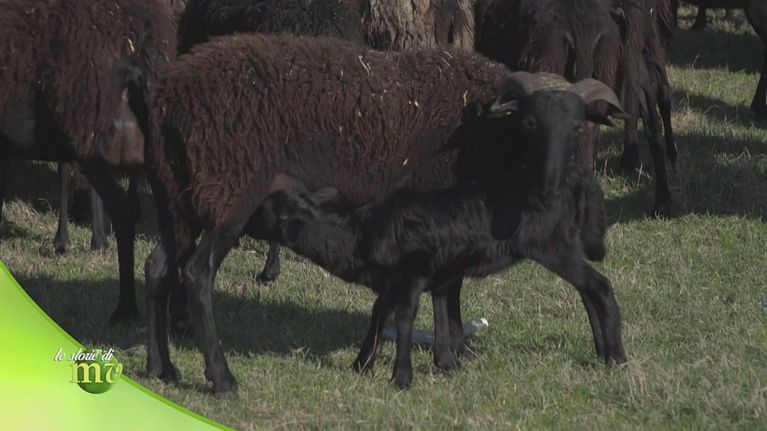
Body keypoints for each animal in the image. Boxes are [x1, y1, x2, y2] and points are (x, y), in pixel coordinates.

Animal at [250, 157, 625, 389]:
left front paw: (400, 378)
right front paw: (366, 364)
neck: (357, 236)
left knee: (600, 286)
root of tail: (576, 174)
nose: (245, 225)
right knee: (587, 290)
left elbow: (404, 316)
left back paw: (617, 358)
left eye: (265, 212)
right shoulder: (418, 277)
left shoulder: (412, 273)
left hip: (550, 243)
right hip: (563, 243)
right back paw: (601, 351)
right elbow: (392, 312)